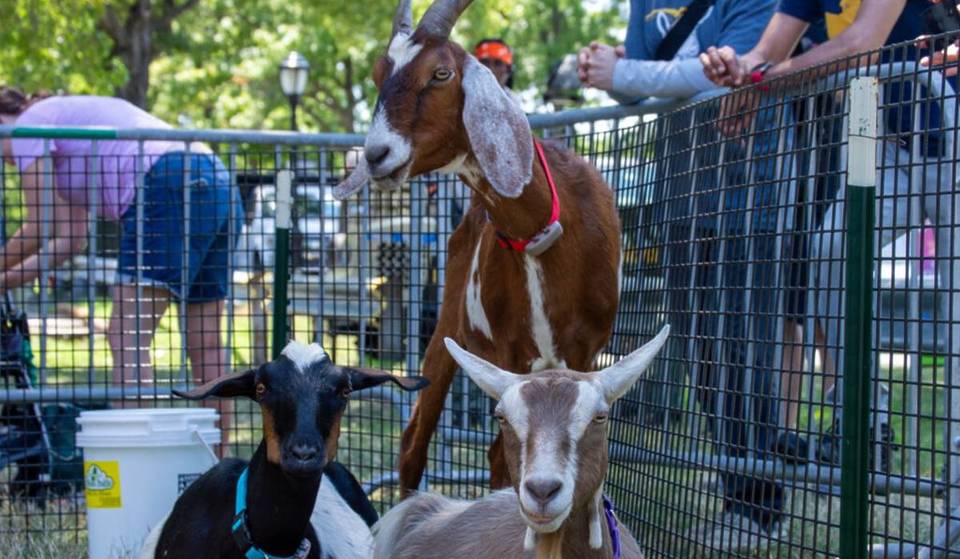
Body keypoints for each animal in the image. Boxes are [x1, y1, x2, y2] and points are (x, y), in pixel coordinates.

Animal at [336, 0, 622, 494]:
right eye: (377, 74)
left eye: (441, 73)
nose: (375, 156)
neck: (546, 233)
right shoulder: (509, 352)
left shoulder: (586, 351)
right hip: (446, 323)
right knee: (416, 440)